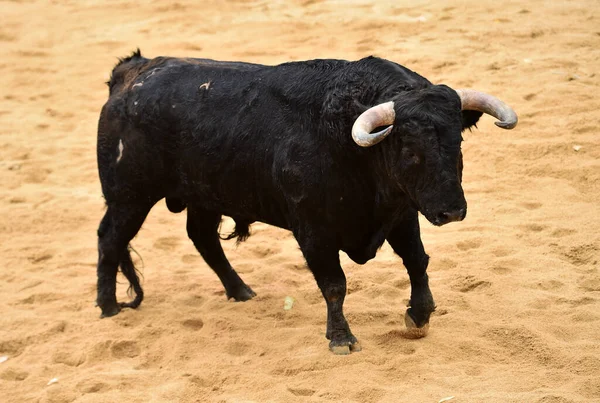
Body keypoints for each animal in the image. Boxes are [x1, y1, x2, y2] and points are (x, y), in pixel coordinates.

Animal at [97, 49, 516, 354]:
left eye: (457, 143)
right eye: (410, 150)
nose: (452, 211)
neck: (351, 148)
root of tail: (131, 72)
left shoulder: (400, 213)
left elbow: (417, 260)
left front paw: (420, 314)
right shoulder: (314, 230)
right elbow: (334, 284)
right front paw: (341, 338)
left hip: (205, 194)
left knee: (202, 237)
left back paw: (240, 291)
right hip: (129, 196)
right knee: (110, 239)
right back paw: (108, 306)